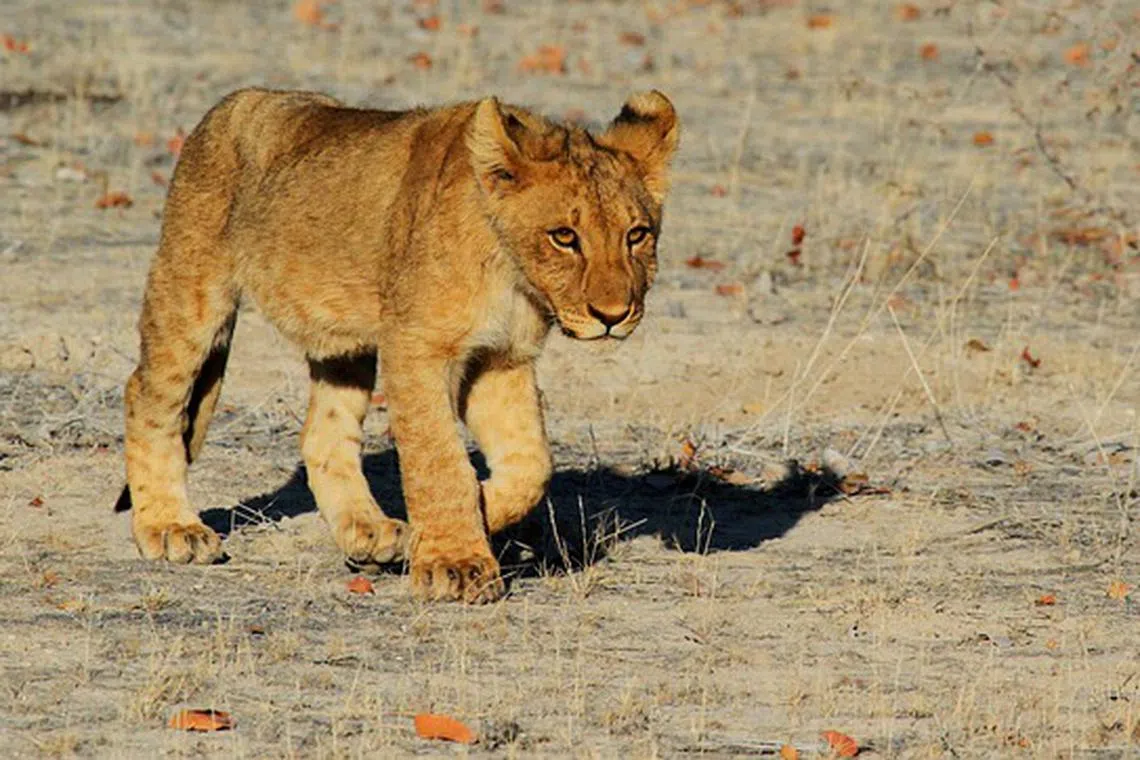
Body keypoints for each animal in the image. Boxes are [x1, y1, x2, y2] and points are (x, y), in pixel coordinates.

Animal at [115, 87, 679, 603]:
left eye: (636, 234)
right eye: (564, 236)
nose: (613, 316)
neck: (512, 274)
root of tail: (229, 104)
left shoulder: (501, 358)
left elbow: (530, 463)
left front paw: (464, 519)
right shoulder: (417, 346)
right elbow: (438, 457)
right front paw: (455, 563)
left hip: (343, 343)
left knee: (323, 434)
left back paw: (369, 533)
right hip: (192, 290)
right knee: (148, 393)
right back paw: (170, 528)